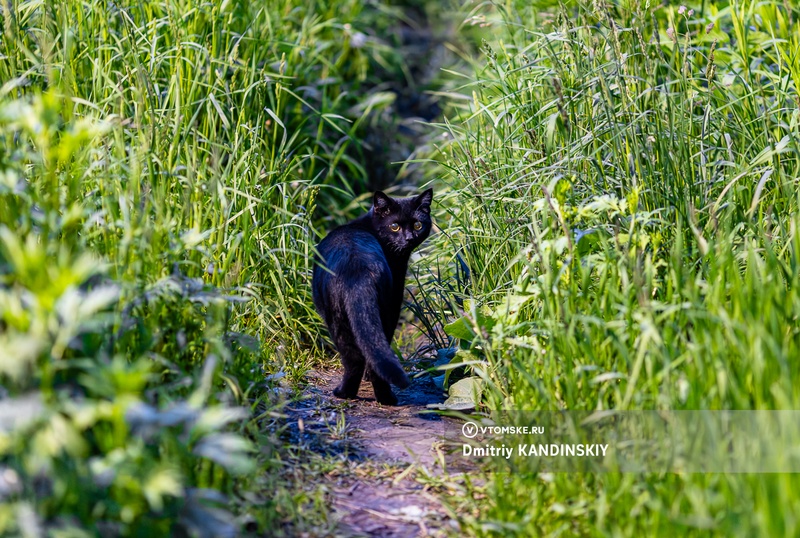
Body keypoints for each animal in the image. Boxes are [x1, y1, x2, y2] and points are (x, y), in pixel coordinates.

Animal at [310, 188, 432, 402]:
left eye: (417, 224)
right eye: (394, 226)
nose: (409, 238)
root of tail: (358, 271)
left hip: (339, 317)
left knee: (354, 359)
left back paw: (347, 394)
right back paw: (384, 397)